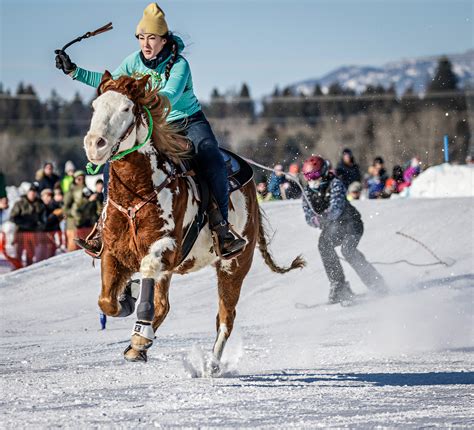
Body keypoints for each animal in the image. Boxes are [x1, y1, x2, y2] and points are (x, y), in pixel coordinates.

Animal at [83, 73, 304, 366]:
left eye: (127, 108)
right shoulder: (113, 251)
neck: (138, 194)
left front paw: (139, 331)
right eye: (95, 106)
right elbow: (107, 301)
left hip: (233, 267)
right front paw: (128, 299)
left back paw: (210, 364)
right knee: (163, 306)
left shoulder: (164, 249)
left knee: (225, 318)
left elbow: (146, 278)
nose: (94, 144)